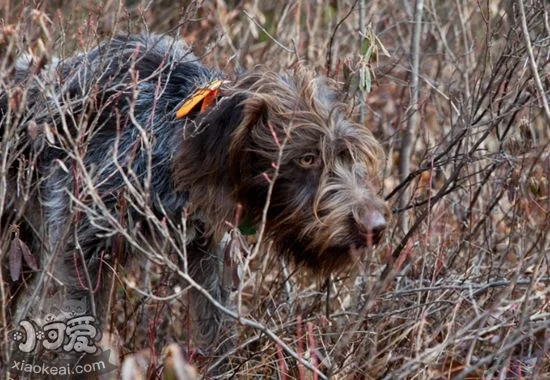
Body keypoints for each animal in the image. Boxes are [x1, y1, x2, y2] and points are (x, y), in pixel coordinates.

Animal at [0, 34, 390, 366]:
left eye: (348, 155)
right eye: (306, 158)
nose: (375, 227)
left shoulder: (206, 248)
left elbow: (215, 323)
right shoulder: (84, 247)